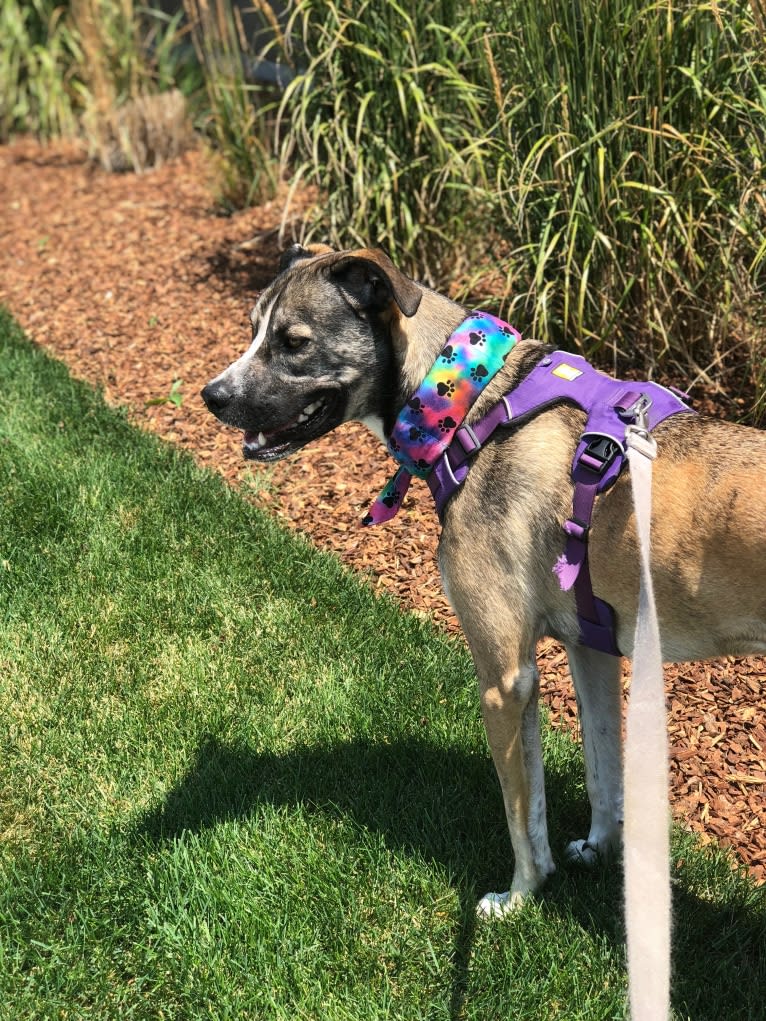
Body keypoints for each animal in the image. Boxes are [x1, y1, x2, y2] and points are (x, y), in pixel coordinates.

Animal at [202, 245, 766, 918]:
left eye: (294, 342)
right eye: (253, 329)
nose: (211, 396)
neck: (469, 402)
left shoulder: (504, 678)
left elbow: (522, 814)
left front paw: (520, 894)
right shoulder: (591, 647)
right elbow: (602, 768)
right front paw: (598, 851)